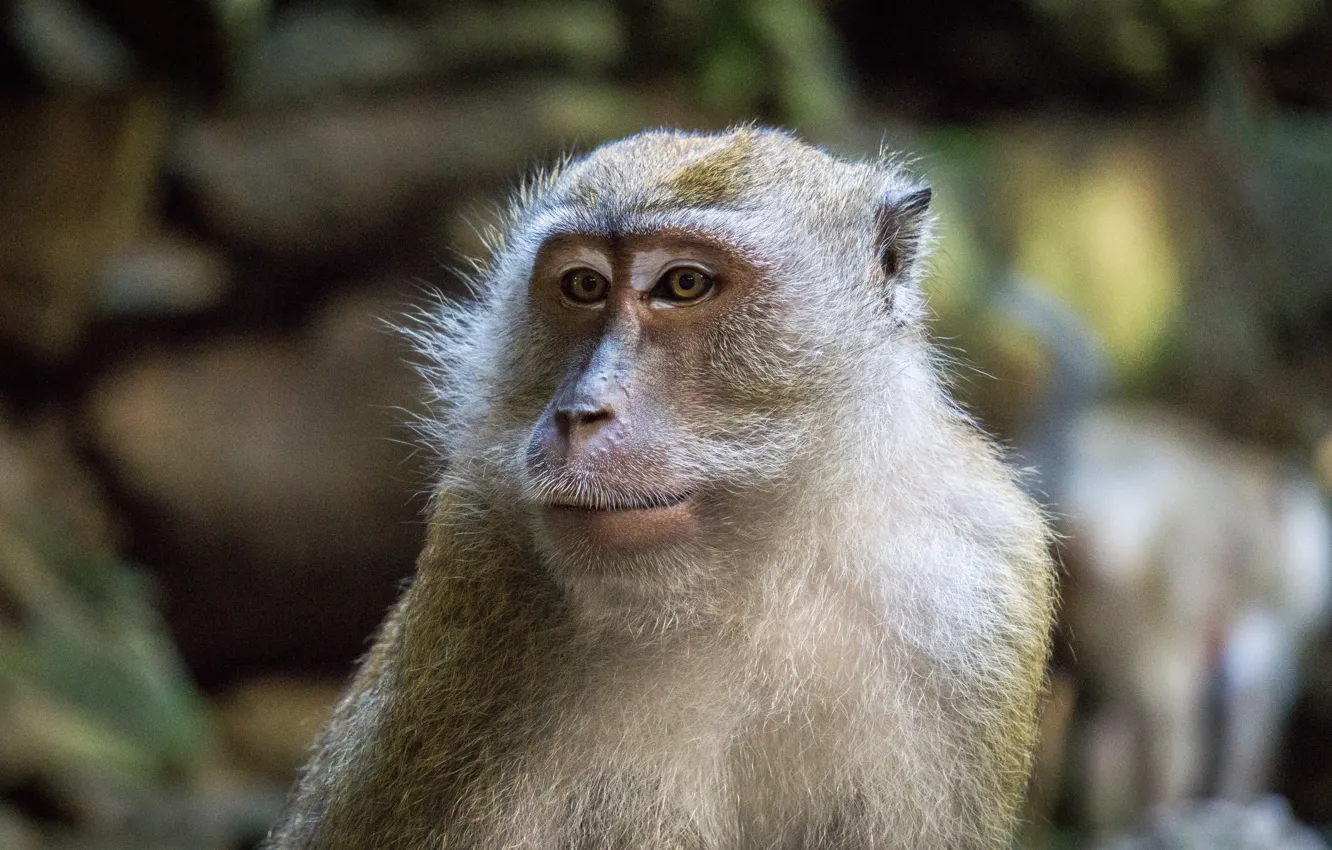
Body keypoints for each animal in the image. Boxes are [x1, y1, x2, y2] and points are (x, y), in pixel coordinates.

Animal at [265, 127, 1054, 850]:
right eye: (584, 286)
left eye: (682, 284)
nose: (580, 412)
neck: (757, 578)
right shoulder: (476, 559)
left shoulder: (981, 580)